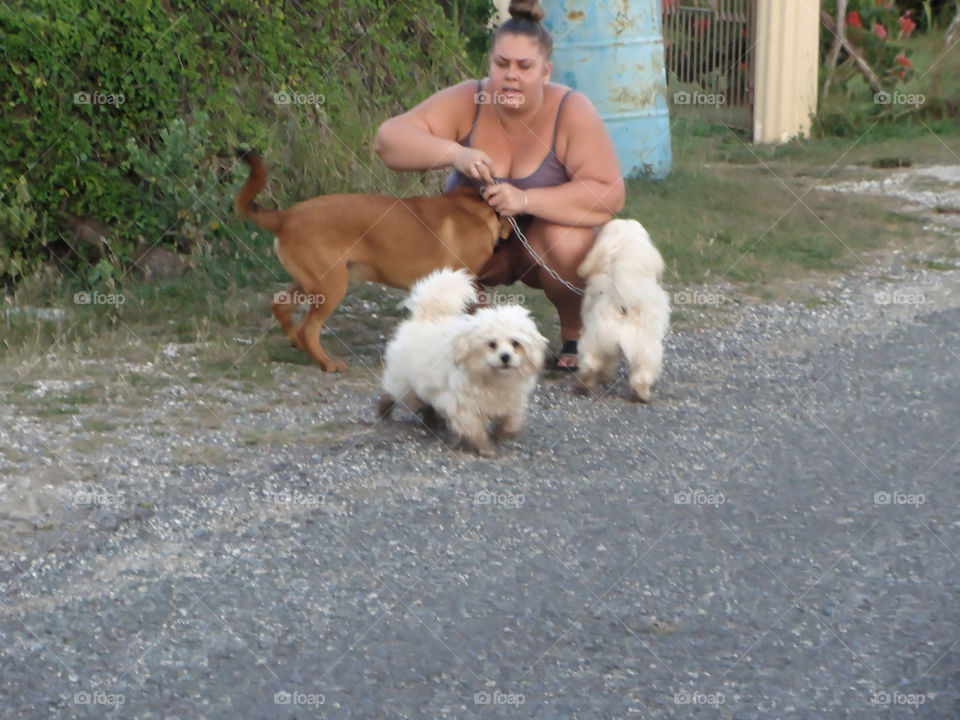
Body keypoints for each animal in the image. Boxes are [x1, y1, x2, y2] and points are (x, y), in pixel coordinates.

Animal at [234, 148, 502, 372]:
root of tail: (285, 217)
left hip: (311, 282)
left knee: (281, 307)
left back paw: (298, 344)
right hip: (332, 285)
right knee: (308, 329)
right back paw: (328, 364)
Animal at [380, 270, 548, 456]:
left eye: (515, 343)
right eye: (492, 344)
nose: (505, 357)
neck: (493, 379)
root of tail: (427, 316)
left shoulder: (513, 401)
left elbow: (512, 421)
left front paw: (501, 433)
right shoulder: (463, 407)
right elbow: (475, 429)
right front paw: (486, 448)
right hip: (405, 382)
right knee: (396, 393)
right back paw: (385, 410)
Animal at [572, 219, 672, 402]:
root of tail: (624, 304)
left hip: (595, 340)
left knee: (591, 363)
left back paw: (584, 385)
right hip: (648, 350)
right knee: (642, 376)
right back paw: (641, 396)